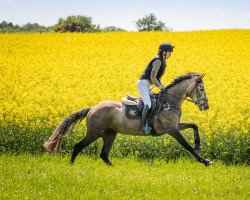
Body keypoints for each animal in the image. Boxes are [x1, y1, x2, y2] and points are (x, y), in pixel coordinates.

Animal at [43, 72, 213, 166]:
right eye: (201, 88)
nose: (206, 106)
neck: (169, 103)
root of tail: (92, 108)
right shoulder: (171, 129)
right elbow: (187, 146)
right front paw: (205, 161)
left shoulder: (175, 126)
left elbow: (194, 126)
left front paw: (198, 146)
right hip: (94, 133)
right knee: (78, 146)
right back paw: (71, 165)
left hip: (110, 134)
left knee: (104, 154)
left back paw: (113, 168)